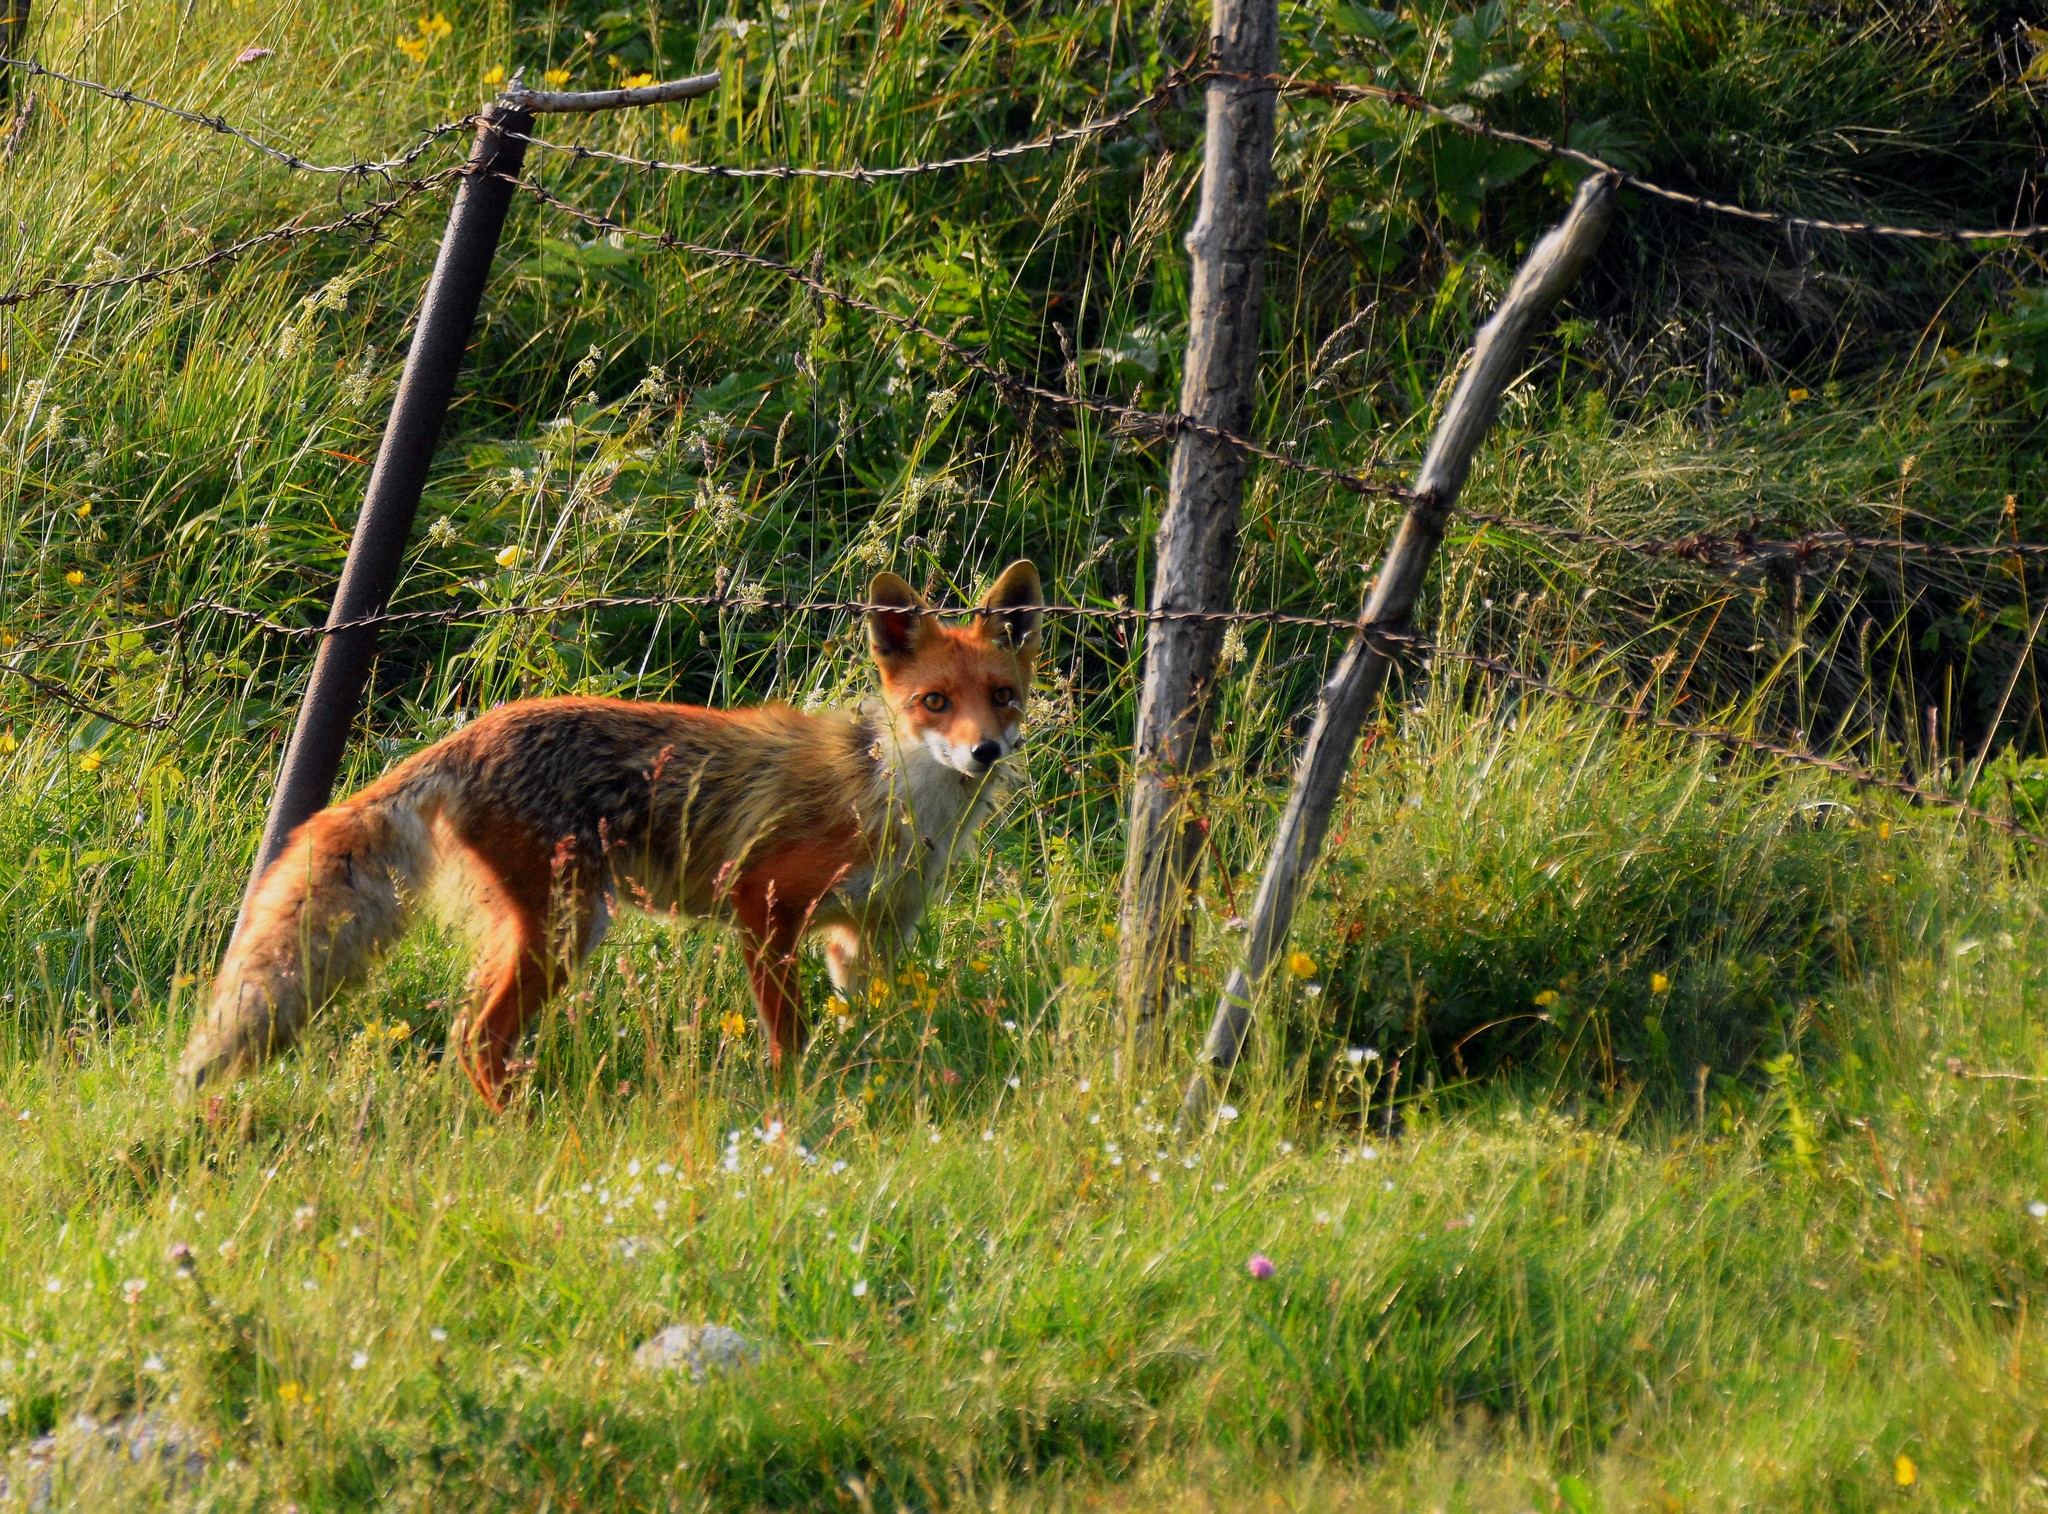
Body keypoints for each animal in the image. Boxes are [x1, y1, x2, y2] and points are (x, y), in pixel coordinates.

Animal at [176, 560, 1043, 1108]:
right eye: (934, 702)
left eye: (1001, 697)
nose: (984, 752)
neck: (894, 799)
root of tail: (469, 735)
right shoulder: (762, 904)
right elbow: (788, 1041)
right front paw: (794, 1109)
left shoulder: (866, 939)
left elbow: (882, 1030)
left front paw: (884, 1086)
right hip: (570, 926)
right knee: (475, 1039)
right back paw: (523, 1131)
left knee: (473, 1037)